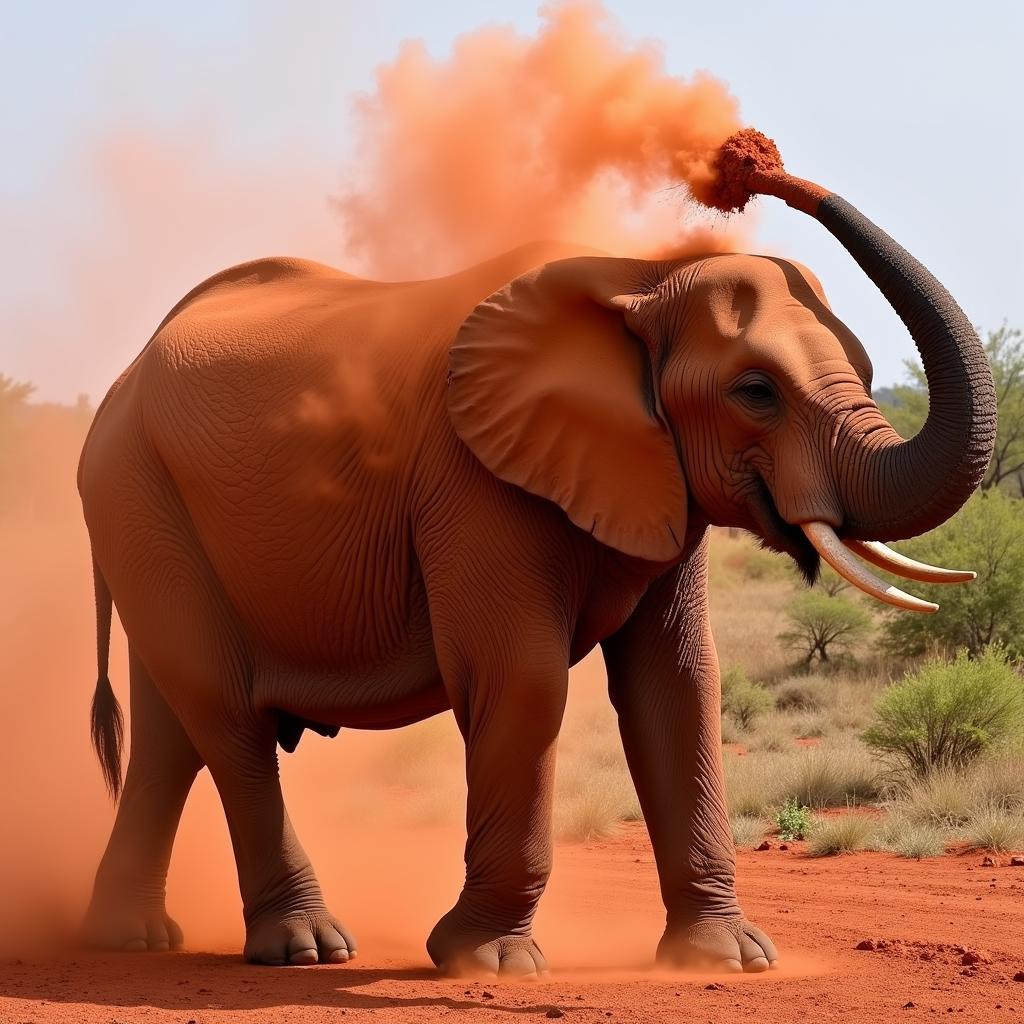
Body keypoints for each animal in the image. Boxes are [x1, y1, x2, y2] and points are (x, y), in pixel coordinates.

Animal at [79, 163, 991, 978]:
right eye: (756, 391)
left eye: (869, 376)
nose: (760, 166)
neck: (639, 280)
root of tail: (119, 382)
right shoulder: (470, 476)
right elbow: (521, 678)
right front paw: (486, 962)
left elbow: (679, 682)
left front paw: (730, 960)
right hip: (135, 490)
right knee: (223, 713)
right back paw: (304, 949)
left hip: (150, 506)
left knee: (172, 731)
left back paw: (130, 938)